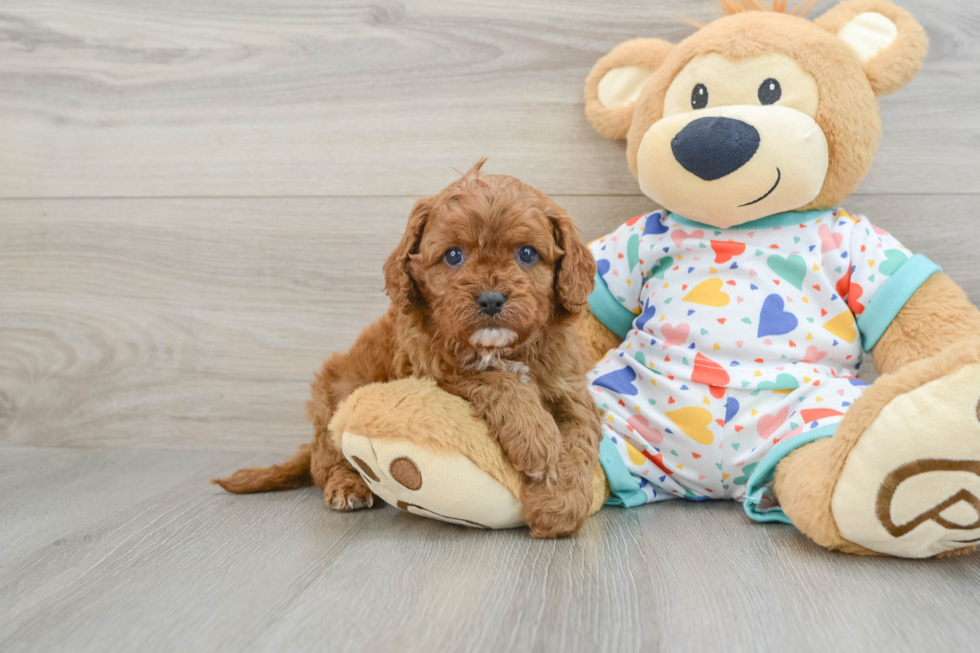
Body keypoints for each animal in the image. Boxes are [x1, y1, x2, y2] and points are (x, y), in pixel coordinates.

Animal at [216, 160, 604, 536]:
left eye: (527, 254)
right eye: (453, 255)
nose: (491, 299)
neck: (502, 349)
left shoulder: (568, 386)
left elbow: (580, 438)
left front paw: (559, 506)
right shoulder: (433, 366)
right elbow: (494, 379)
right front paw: (537, 440)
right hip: (338, 389)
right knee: (326, 462)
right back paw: (348, 486)